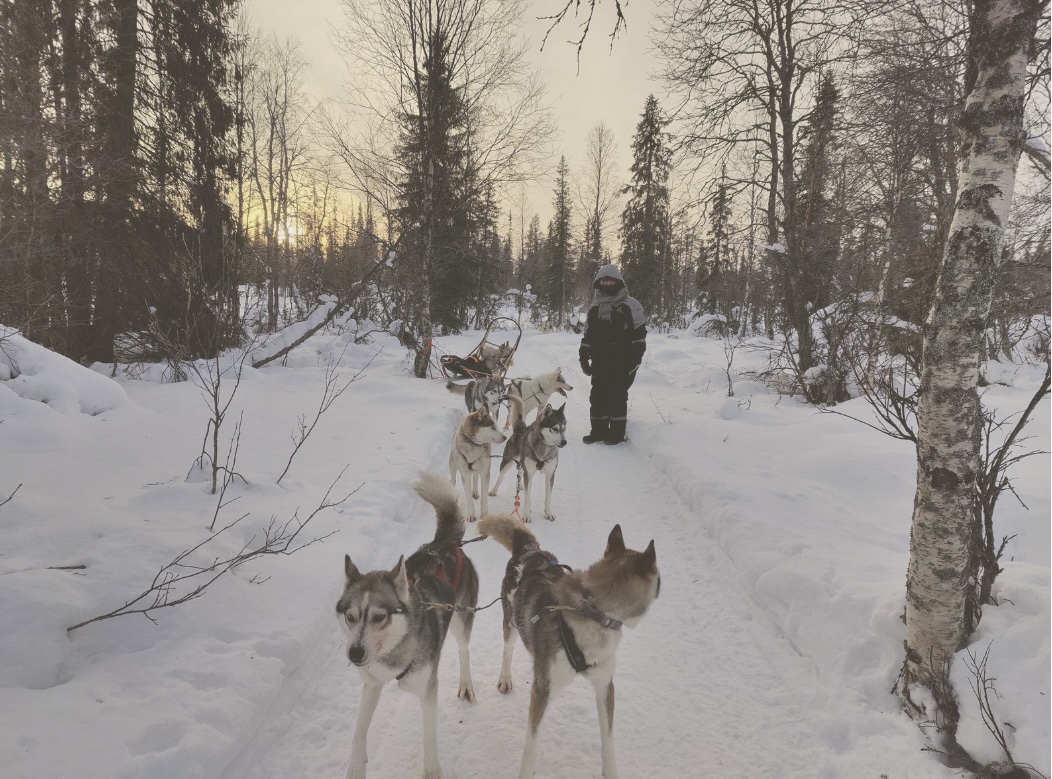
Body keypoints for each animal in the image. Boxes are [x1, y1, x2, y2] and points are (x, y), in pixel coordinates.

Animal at [334, 471, 479, 779]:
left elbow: (429, 738)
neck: (392, 653)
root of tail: (444, 544)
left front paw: (432, 770)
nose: (355, 654)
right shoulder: (372, 684)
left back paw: (466, 684)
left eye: (379, 617)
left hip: (461, 620)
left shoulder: (427, 689)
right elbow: (358, 732)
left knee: (464, 650)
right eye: (351, 617)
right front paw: (355, 767)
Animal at [477, 513, 656, 779]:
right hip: (511, 621)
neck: (594, 613)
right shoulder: (542, 689)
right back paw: (505, 677)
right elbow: (531, 746)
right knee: (508, 649)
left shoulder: (605, 686)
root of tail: (531, 551)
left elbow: (608, 738)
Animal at [490, 395, 568, 524]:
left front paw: (548, 513)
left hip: (522, 463)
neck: (543, 449)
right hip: (508, 461)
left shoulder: (550, 474)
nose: (564, 442)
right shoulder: (529, 474)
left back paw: (519, 485)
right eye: (554, 428)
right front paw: (526, 515)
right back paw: (494, 490)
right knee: (501, 475)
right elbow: (527, 497)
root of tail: (520, 428)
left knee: (520, 472)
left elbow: (548, 497)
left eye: (564, 428)